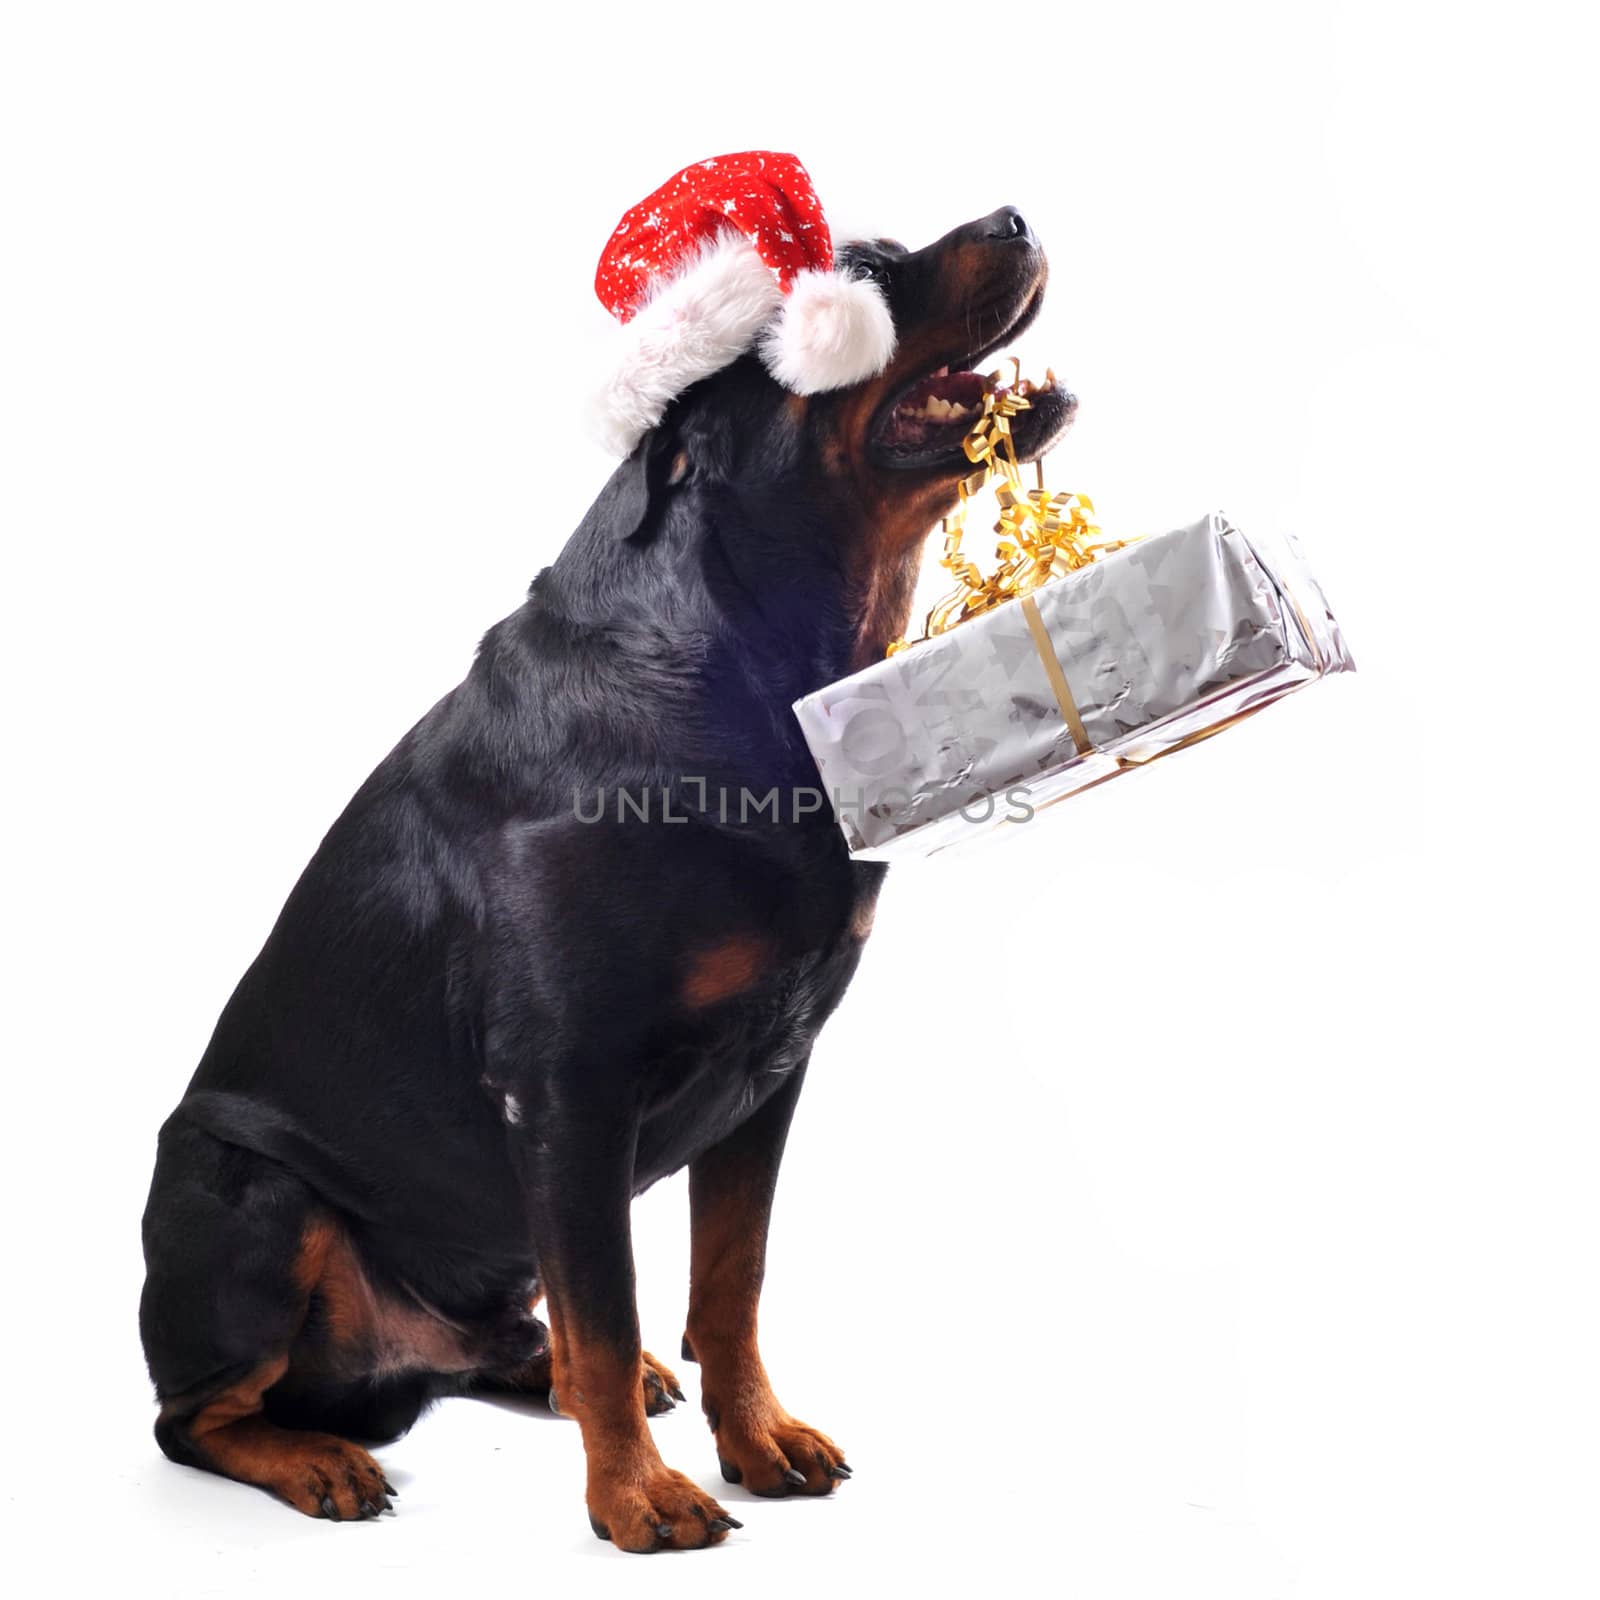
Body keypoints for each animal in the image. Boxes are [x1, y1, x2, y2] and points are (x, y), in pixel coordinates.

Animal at [140, 200, 1075, 1548]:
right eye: (861, 268)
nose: (1013, 216)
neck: (756, 665)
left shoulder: (773, 1068)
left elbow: (726, 1280)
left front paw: (755, 1436)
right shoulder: (565, 1084)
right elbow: (610, 1294)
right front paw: (637, 1496)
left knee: (518, 1339)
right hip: (245, 1190)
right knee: (196, 1414)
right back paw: (318, 1457)